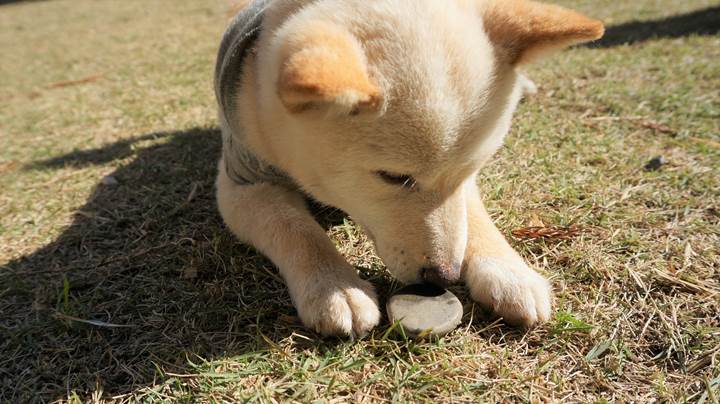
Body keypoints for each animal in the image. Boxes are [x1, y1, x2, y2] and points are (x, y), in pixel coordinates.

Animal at [214, 0, 600, 336]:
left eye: (471, 170)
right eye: (395, 177)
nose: (444, 277)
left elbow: (471, 215)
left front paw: (508, 271)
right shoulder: (242, 180)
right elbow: (295, 228)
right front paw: (333, 286)